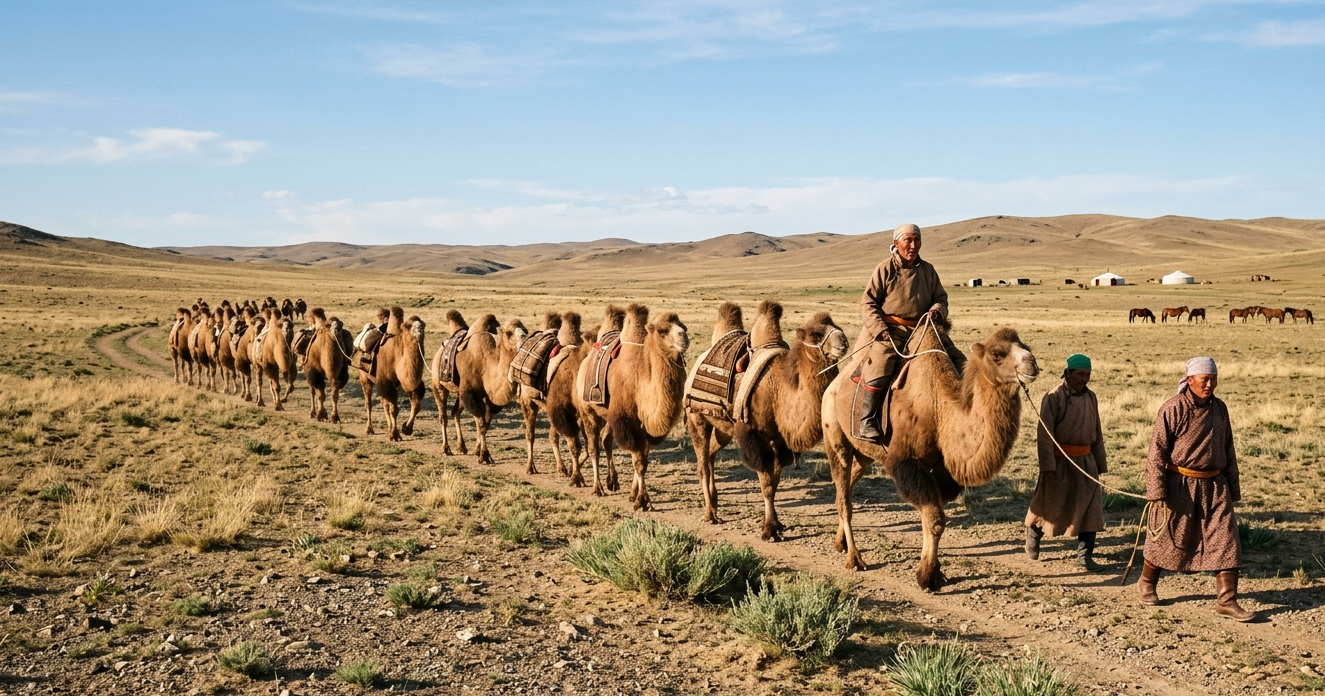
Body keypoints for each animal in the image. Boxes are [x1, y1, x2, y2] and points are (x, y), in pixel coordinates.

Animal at [360, 307, 427, 441]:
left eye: (423, 324)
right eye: (408, 325)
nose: (419, 332)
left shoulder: (407, 383)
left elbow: (416, 405)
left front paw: (406, 428)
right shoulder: (386, 383)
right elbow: (394, 410)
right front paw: (395, 435)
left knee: (384, 403)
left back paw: (388, 429)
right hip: (365, 378)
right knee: (369, 403)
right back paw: (370, 429)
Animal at [430, 311, 527, 462]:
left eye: (525, 330)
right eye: (509, 333)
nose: (525, 339)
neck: (487, 364)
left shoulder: (489, 397)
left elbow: (485, 423)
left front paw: (478, 450)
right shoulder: (471, 393)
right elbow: (480, 422)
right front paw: (485, 456)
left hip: (459, 392)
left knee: (455, 412)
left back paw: (462, 447)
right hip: (438, 385)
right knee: (443, 416)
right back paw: (446, 449)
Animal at [575, 303, 689, 511]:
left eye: (684, 327)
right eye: (662, 331)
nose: (683, 337)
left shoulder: (645, 425)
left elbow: (643, 457)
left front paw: (634, 494)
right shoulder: (628, 420)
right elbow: (638, 460)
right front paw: (643, 501)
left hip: (609, 414)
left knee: (606, 439)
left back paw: (612, 481)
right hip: (588, 410)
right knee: (593, 446)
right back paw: (598, 488)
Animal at [685, 301, 848, 538]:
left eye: (838, 328)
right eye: (816, 334)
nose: (843, 341)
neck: (780, 390)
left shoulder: (780, 440)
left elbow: (775, 481)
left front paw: (777, 524)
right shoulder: (756, 434)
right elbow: (766, 482)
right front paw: (769, 530)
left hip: (724, 427)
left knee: (711, 455)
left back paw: (715, 506)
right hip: (697, 416)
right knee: (702, 463)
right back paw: (709, 514)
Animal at [821, 319, 1039, 590]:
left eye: (1026, 347)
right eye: (997, 354)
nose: (1032, 364)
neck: (939, 410)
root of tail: (833, 385)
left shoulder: (943, 471)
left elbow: (933, 519)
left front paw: (934, 572)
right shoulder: (910, 463)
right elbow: (935, 519)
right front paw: (927, 577)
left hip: (864, 454)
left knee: (847, 487)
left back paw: (840, 542)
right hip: (834, 435)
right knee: (844, 497)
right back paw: (855, 558)